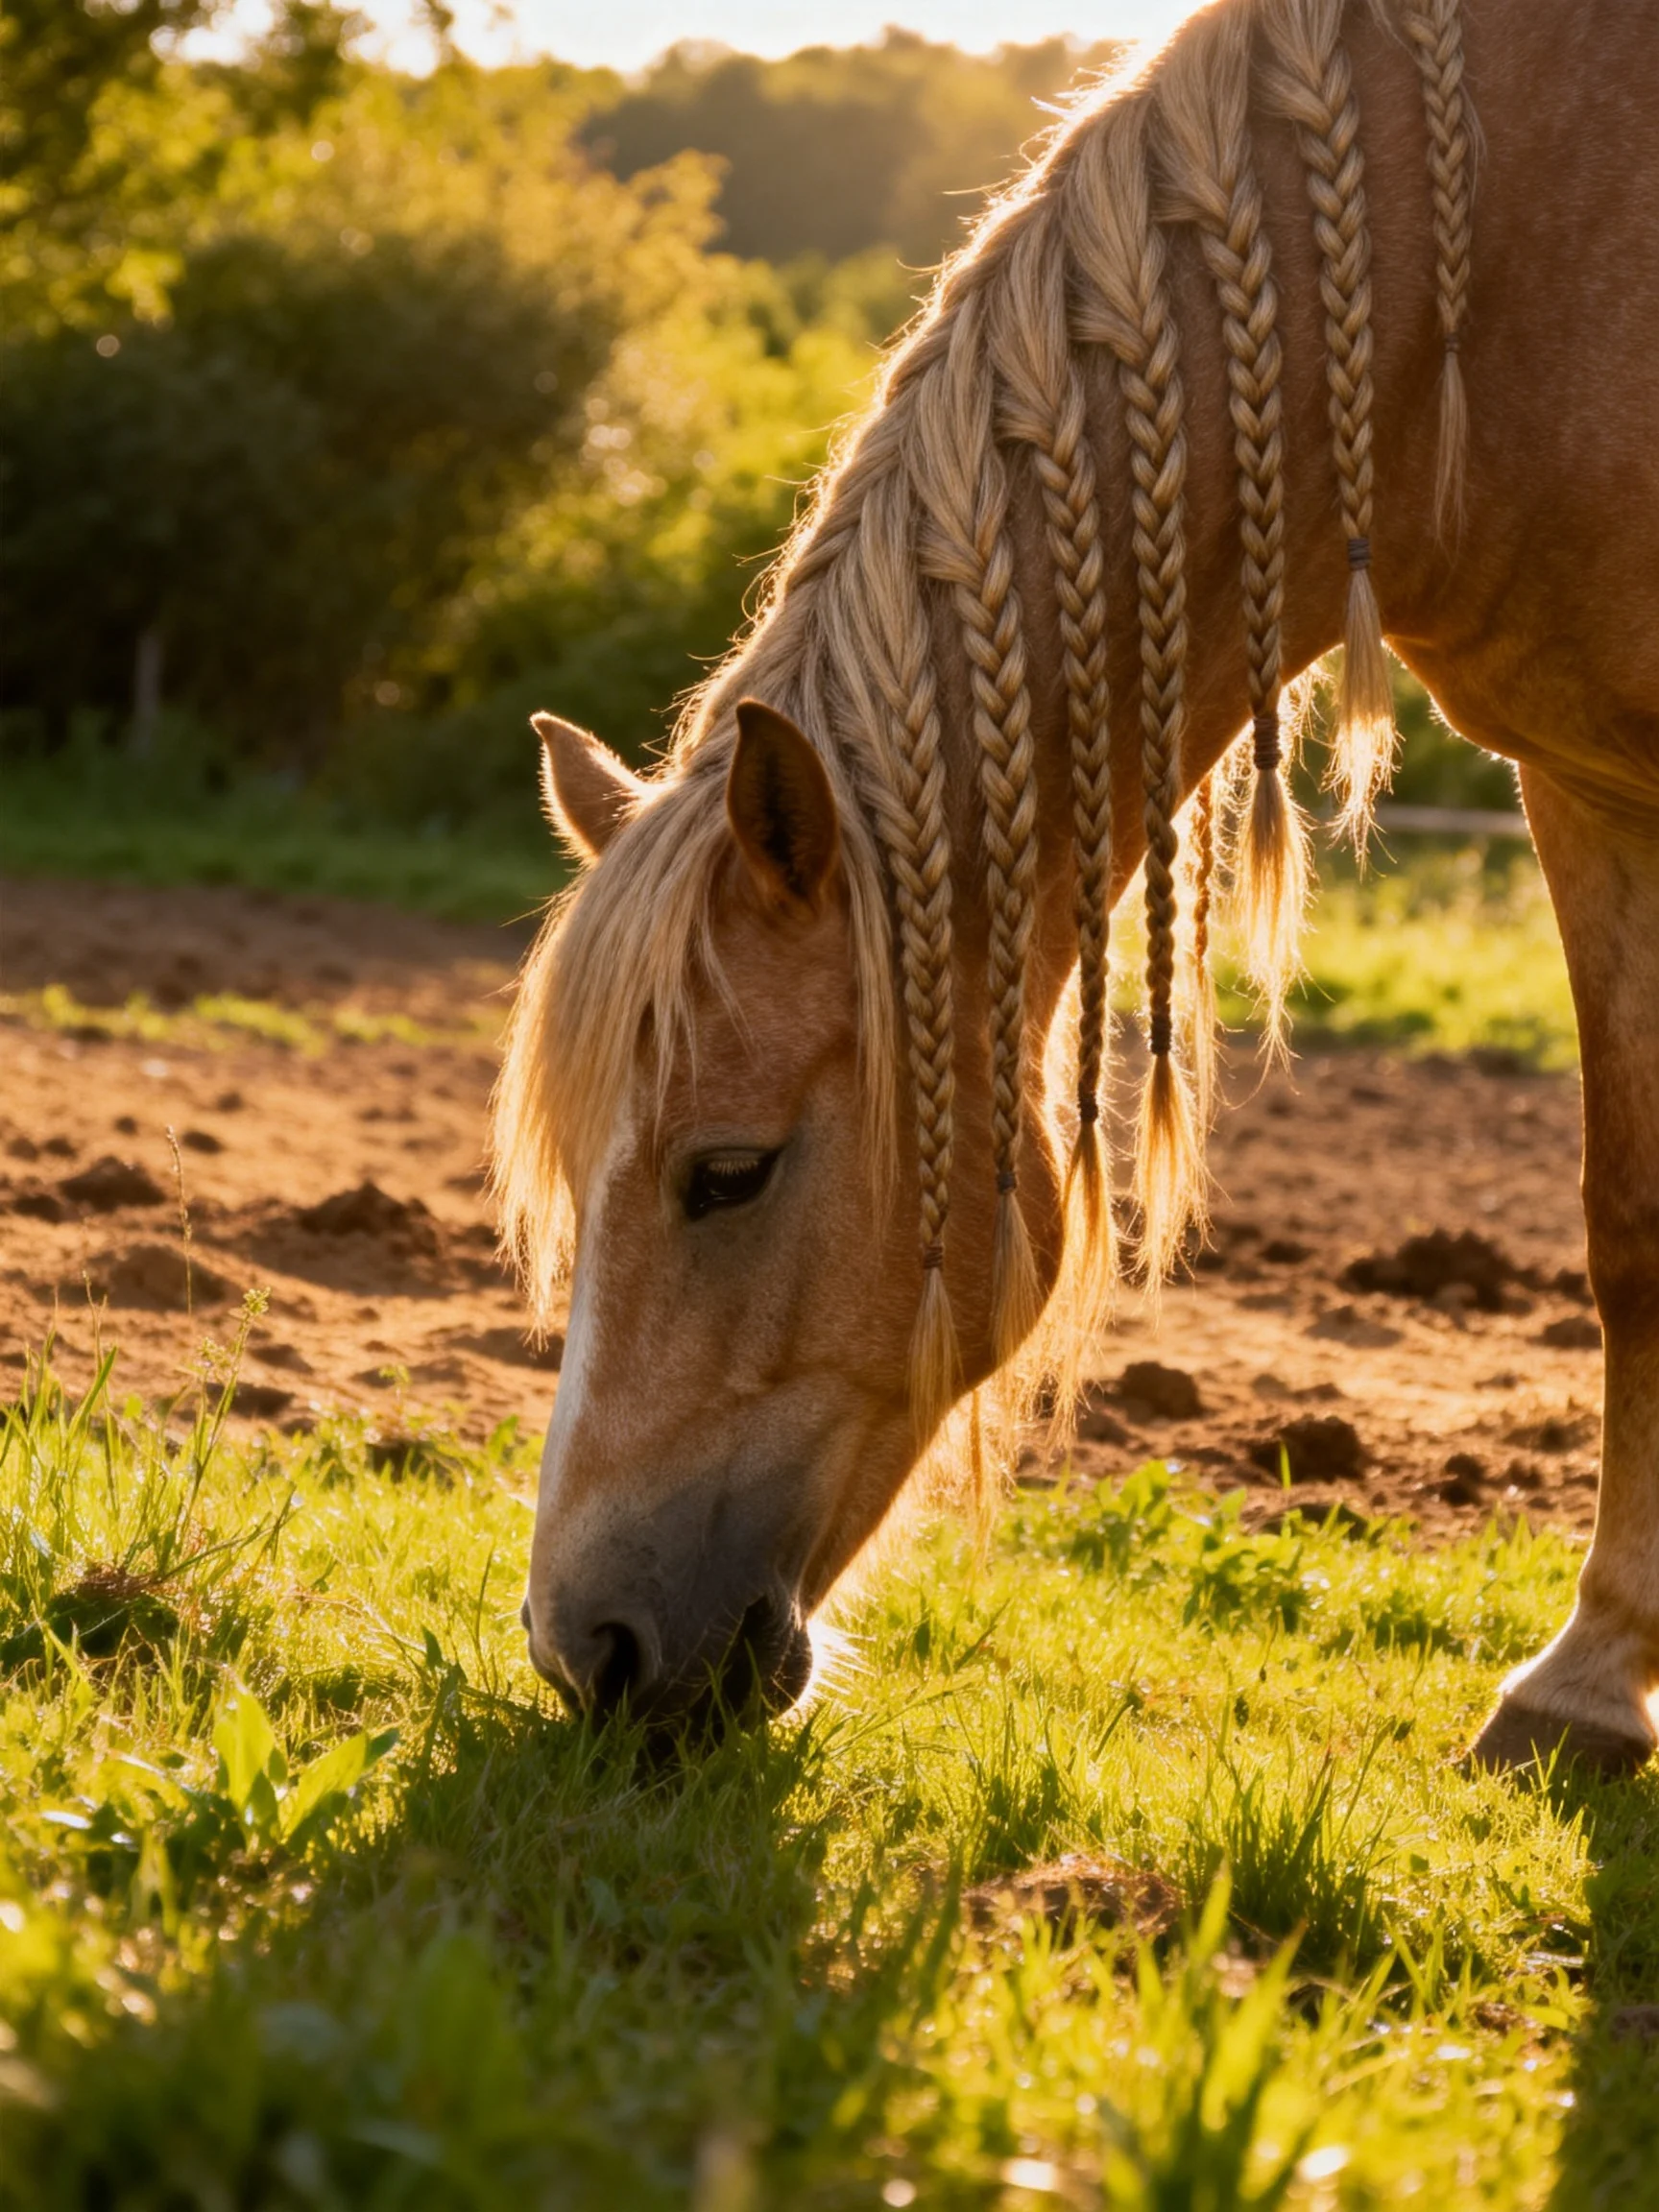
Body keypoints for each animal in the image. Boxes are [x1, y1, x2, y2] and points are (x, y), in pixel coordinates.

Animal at [493, 0, 1659, 1770]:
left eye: (729, 1172)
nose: (588, 1651)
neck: (1488, 274)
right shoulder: (1586, 789)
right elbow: (1629, 1225)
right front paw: (1592, 1683)